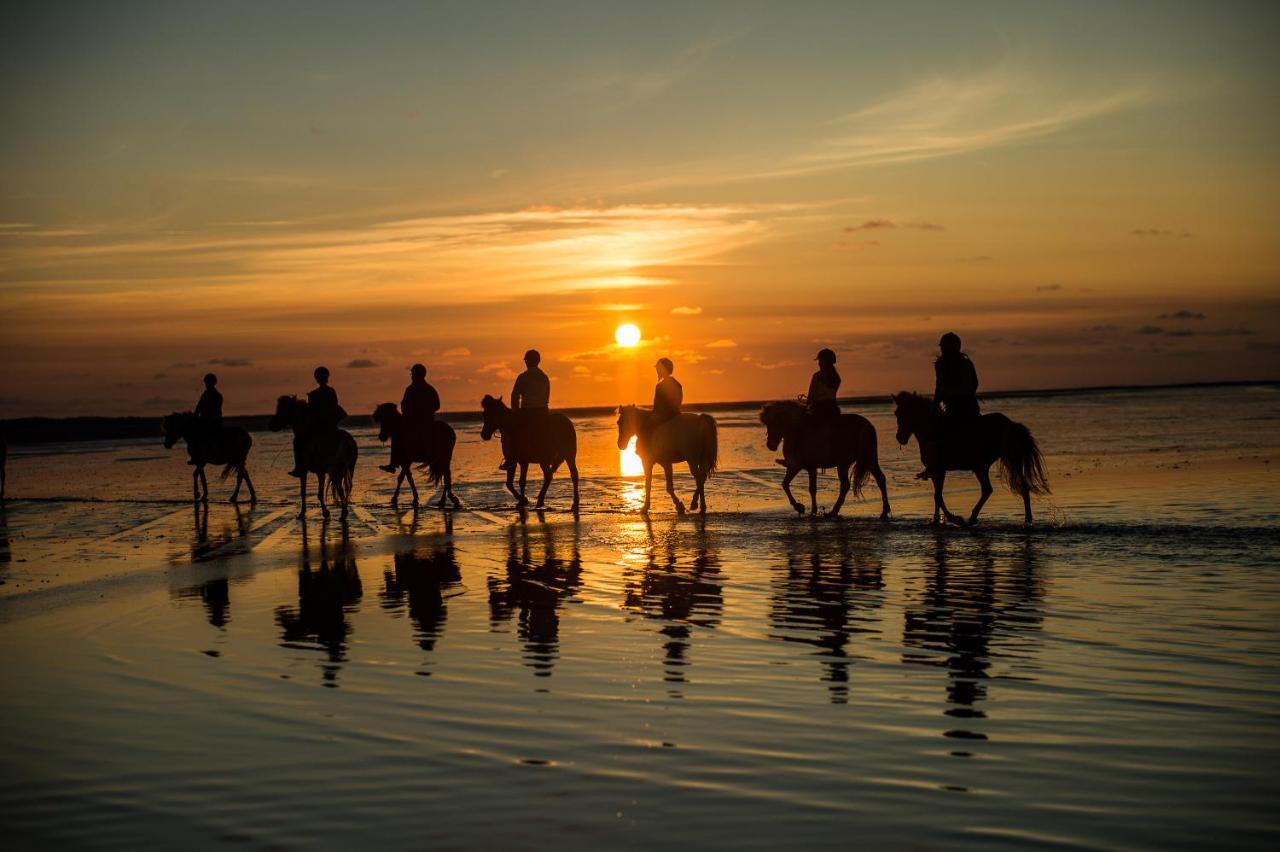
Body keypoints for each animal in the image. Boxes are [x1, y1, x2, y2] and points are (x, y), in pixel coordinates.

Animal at [757, 399, 890, 516]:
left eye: (775, 422)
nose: (770, 445)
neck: (797, 430)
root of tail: (866, 426)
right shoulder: (810, 468)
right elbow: (811, 488)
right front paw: (812, 510)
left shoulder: (796, 466)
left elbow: (786, 484)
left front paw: (800, 508)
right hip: (870, 460)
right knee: (880, 479)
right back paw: (884, 511)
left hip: (843, 463)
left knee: (845, 485)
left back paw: (833, 512)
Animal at [890, 391, 1049, 524]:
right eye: (897, 413)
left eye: (906, 412)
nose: (900, 437)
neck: (931, 431)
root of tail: (1011, 424)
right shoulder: (935, 472)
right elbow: (937, 496)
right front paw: (936, 520)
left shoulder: (939, 469)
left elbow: (938, 496)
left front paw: (954, 518)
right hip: (998, 463)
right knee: (1017, 487)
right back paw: (1026, 519)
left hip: (988, 464)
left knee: (990, 489)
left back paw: (973, 518)